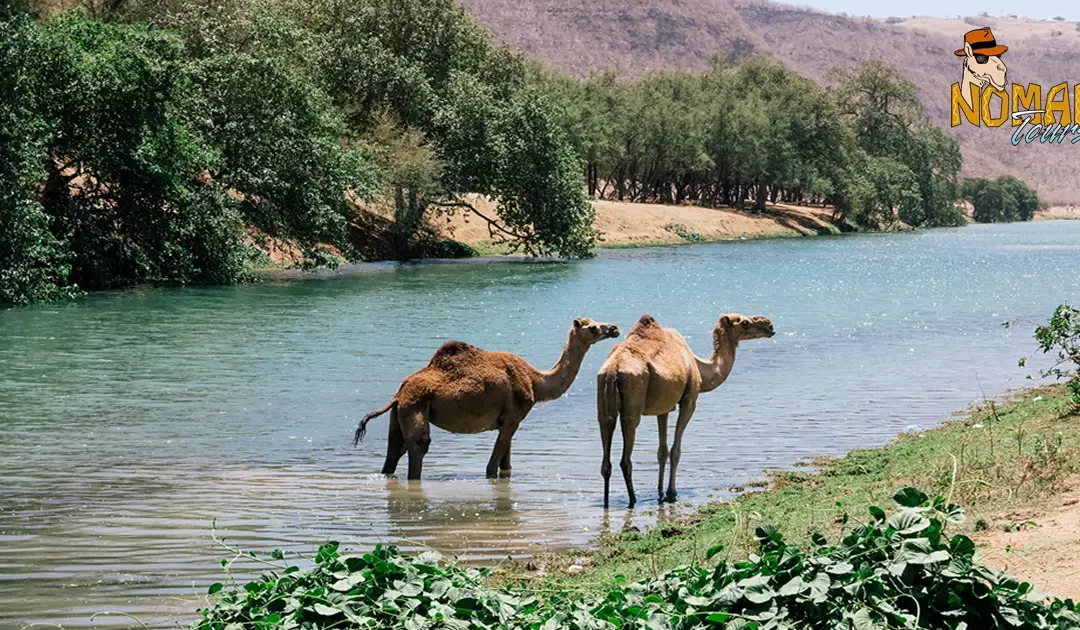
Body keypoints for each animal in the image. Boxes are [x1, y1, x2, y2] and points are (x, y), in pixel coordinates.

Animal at [358, 317, 622, 479]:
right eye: (592, 328)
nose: (614, 328)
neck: (536, 381)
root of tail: (398, 394)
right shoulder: (513, 417)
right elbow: (491, 468)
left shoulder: (507, 420)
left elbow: (506, 465)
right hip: (416, 407)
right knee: (418, 445)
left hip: (398, 414)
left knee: (394, 450)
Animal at [596, 313, 773, 510]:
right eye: (744, 322)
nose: (769, 325)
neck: (699, 366)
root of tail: (614, 369)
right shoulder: (689, 399)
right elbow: (675, 451)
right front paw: (671, 492)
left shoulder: (664, 407)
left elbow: (662, 451)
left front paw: (660, 491)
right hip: (633, 403)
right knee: (626, 458)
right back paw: (632, 500)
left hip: (603, 402)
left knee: (606, 454)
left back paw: (606, 503)